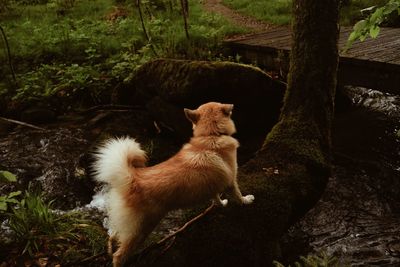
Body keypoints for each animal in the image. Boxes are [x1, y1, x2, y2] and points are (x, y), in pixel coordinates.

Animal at [92, 101, 255, 266]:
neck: (211, 135)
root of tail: (133, 179)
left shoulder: (213, 185)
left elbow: (216, 198)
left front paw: (221, 203)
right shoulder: (231, 181)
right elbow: (238, 195)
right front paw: (246, 200)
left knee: (114, 236)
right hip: (141, 229)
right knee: (119, 255)